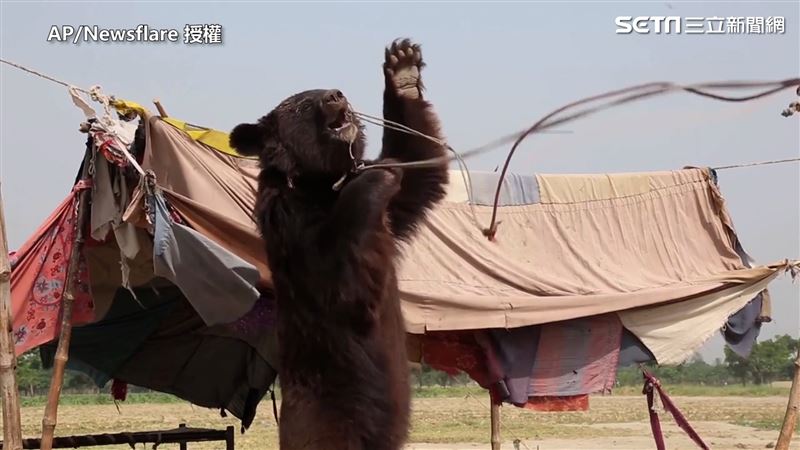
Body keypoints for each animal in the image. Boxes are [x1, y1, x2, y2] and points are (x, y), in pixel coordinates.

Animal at [228, 38, 448, 450]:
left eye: (326, 88)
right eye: (302, 104)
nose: (335, 94)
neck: (320, 183)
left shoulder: (392, 213)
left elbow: (420, 165)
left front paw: (403, 66)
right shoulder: (293, 226)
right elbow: (341, 284)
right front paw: (374, 178)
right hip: (330, 416)